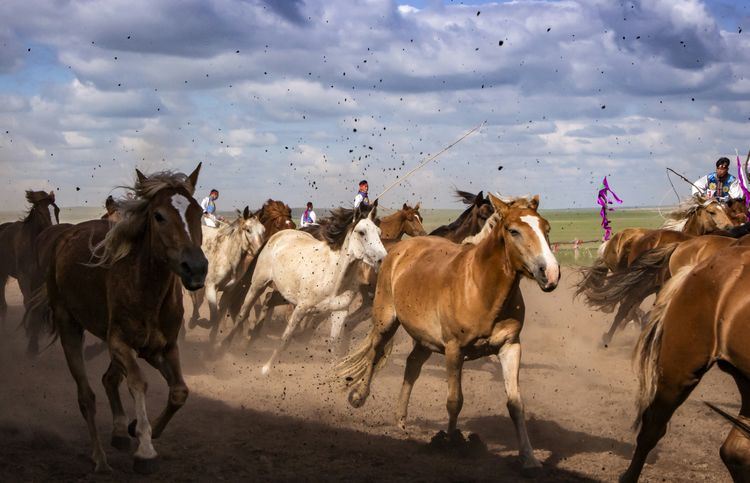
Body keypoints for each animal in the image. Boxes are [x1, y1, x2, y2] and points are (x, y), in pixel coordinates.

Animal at [0, 190, 59, 329]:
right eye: (39, 211)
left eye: (56, 210)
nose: (51, 231)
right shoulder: (23, 278)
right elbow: (28, 303)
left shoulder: (39, 279)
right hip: (2, 274)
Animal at [39, 165, 207, 474]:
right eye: (159, 215)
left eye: (198, 212)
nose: (196, 268)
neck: (147, 290)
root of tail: (64, 237)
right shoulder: (119, 342)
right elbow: (138, 383)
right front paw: (145, 449)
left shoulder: (162, 348)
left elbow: (179, 391)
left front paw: (138, 428)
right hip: (69, 326)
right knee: (86, 396)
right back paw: (100, 459)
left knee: (108, 380)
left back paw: (119, 431)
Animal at [186, 207, 265, 340]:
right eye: (248, 229)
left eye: (263, 230)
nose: (260, 251)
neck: (227, 256)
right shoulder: (211, 287)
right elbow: (213, 317)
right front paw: (202, 323)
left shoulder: (229, 290)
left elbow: (219, 315)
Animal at [229, 201, 386, 375]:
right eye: (361, 232)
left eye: (379, 232)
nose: (383, 259)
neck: (334, 277)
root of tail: (278, 235)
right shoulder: (301, 308)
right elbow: (285, 339)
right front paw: (266, 368)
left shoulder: (340, 312)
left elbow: (334, 345)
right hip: (258, 284)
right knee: (243, 313)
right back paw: (225, 346)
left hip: (285, 293)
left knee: (268, 302)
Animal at [336, 193, 559, 475]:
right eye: (513, 230)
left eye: (546, 228)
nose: (550, 272)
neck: (481, 287)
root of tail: (396, 251)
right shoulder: (454, 349)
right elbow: (455, 401)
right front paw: (451, 443)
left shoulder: (510, 346)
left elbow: (516, 404)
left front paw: (529, 458)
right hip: (384, 319)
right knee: (375, 352)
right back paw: (359, 396)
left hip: (424, 338)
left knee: (412, 365)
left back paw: (401, 419)